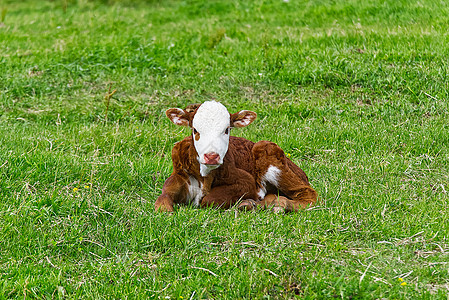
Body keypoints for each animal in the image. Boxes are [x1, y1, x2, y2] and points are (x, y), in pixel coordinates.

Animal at [156, 102, 316, 212]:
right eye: (195, 130)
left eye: (227, 130)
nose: (212, 156)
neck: (205, 176)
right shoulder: (179, 173)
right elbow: (165, 193)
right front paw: (164, 209)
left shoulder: (246, 181)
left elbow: (209, 199)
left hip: (268, 151)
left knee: (309, 195)